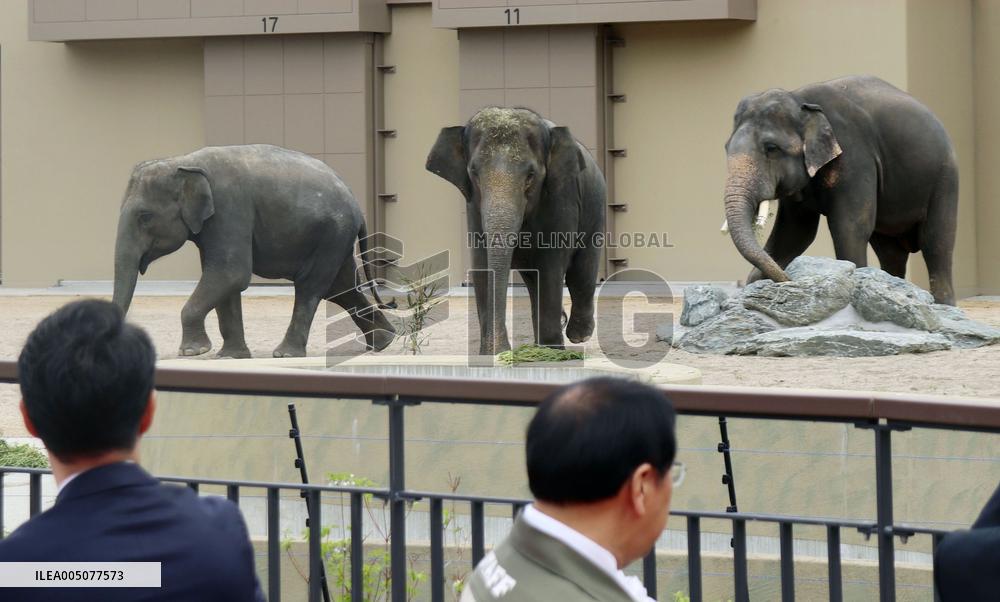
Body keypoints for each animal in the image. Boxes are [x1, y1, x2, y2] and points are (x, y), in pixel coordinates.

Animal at [112, 144, 396, 358]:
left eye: (145, 216)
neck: (183, 161)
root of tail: (357, 205)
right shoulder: (213, 224)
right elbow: (225, 281)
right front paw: (230, 357)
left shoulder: (230, 208)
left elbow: (230, 274)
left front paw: (193, 352)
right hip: (336, 238)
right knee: (342, 287)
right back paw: (384, 342)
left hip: (332, 234)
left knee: (311, 286)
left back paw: (285, 354)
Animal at [427, 108, 607, 355]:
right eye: (474, 173)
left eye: (531, 175)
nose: (502, 350)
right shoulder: (473, 206)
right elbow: (482, 265)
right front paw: (492, 355)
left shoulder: (562, 197)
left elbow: (550, 265)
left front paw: (550, 352)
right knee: (534, 279)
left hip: (595, 210)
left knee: (582, 269)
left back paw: (577, 335)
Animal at [723, 75, 958, 305]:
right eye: (726, 148)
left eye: (771, 148)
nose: (788, 279)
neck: (799, 99)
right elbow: (795, 232)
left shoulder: (855, 155)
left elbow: (850, 227)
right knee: (890, 251)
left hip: (945, 179)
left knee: (936, 243)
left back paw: (943, 304)